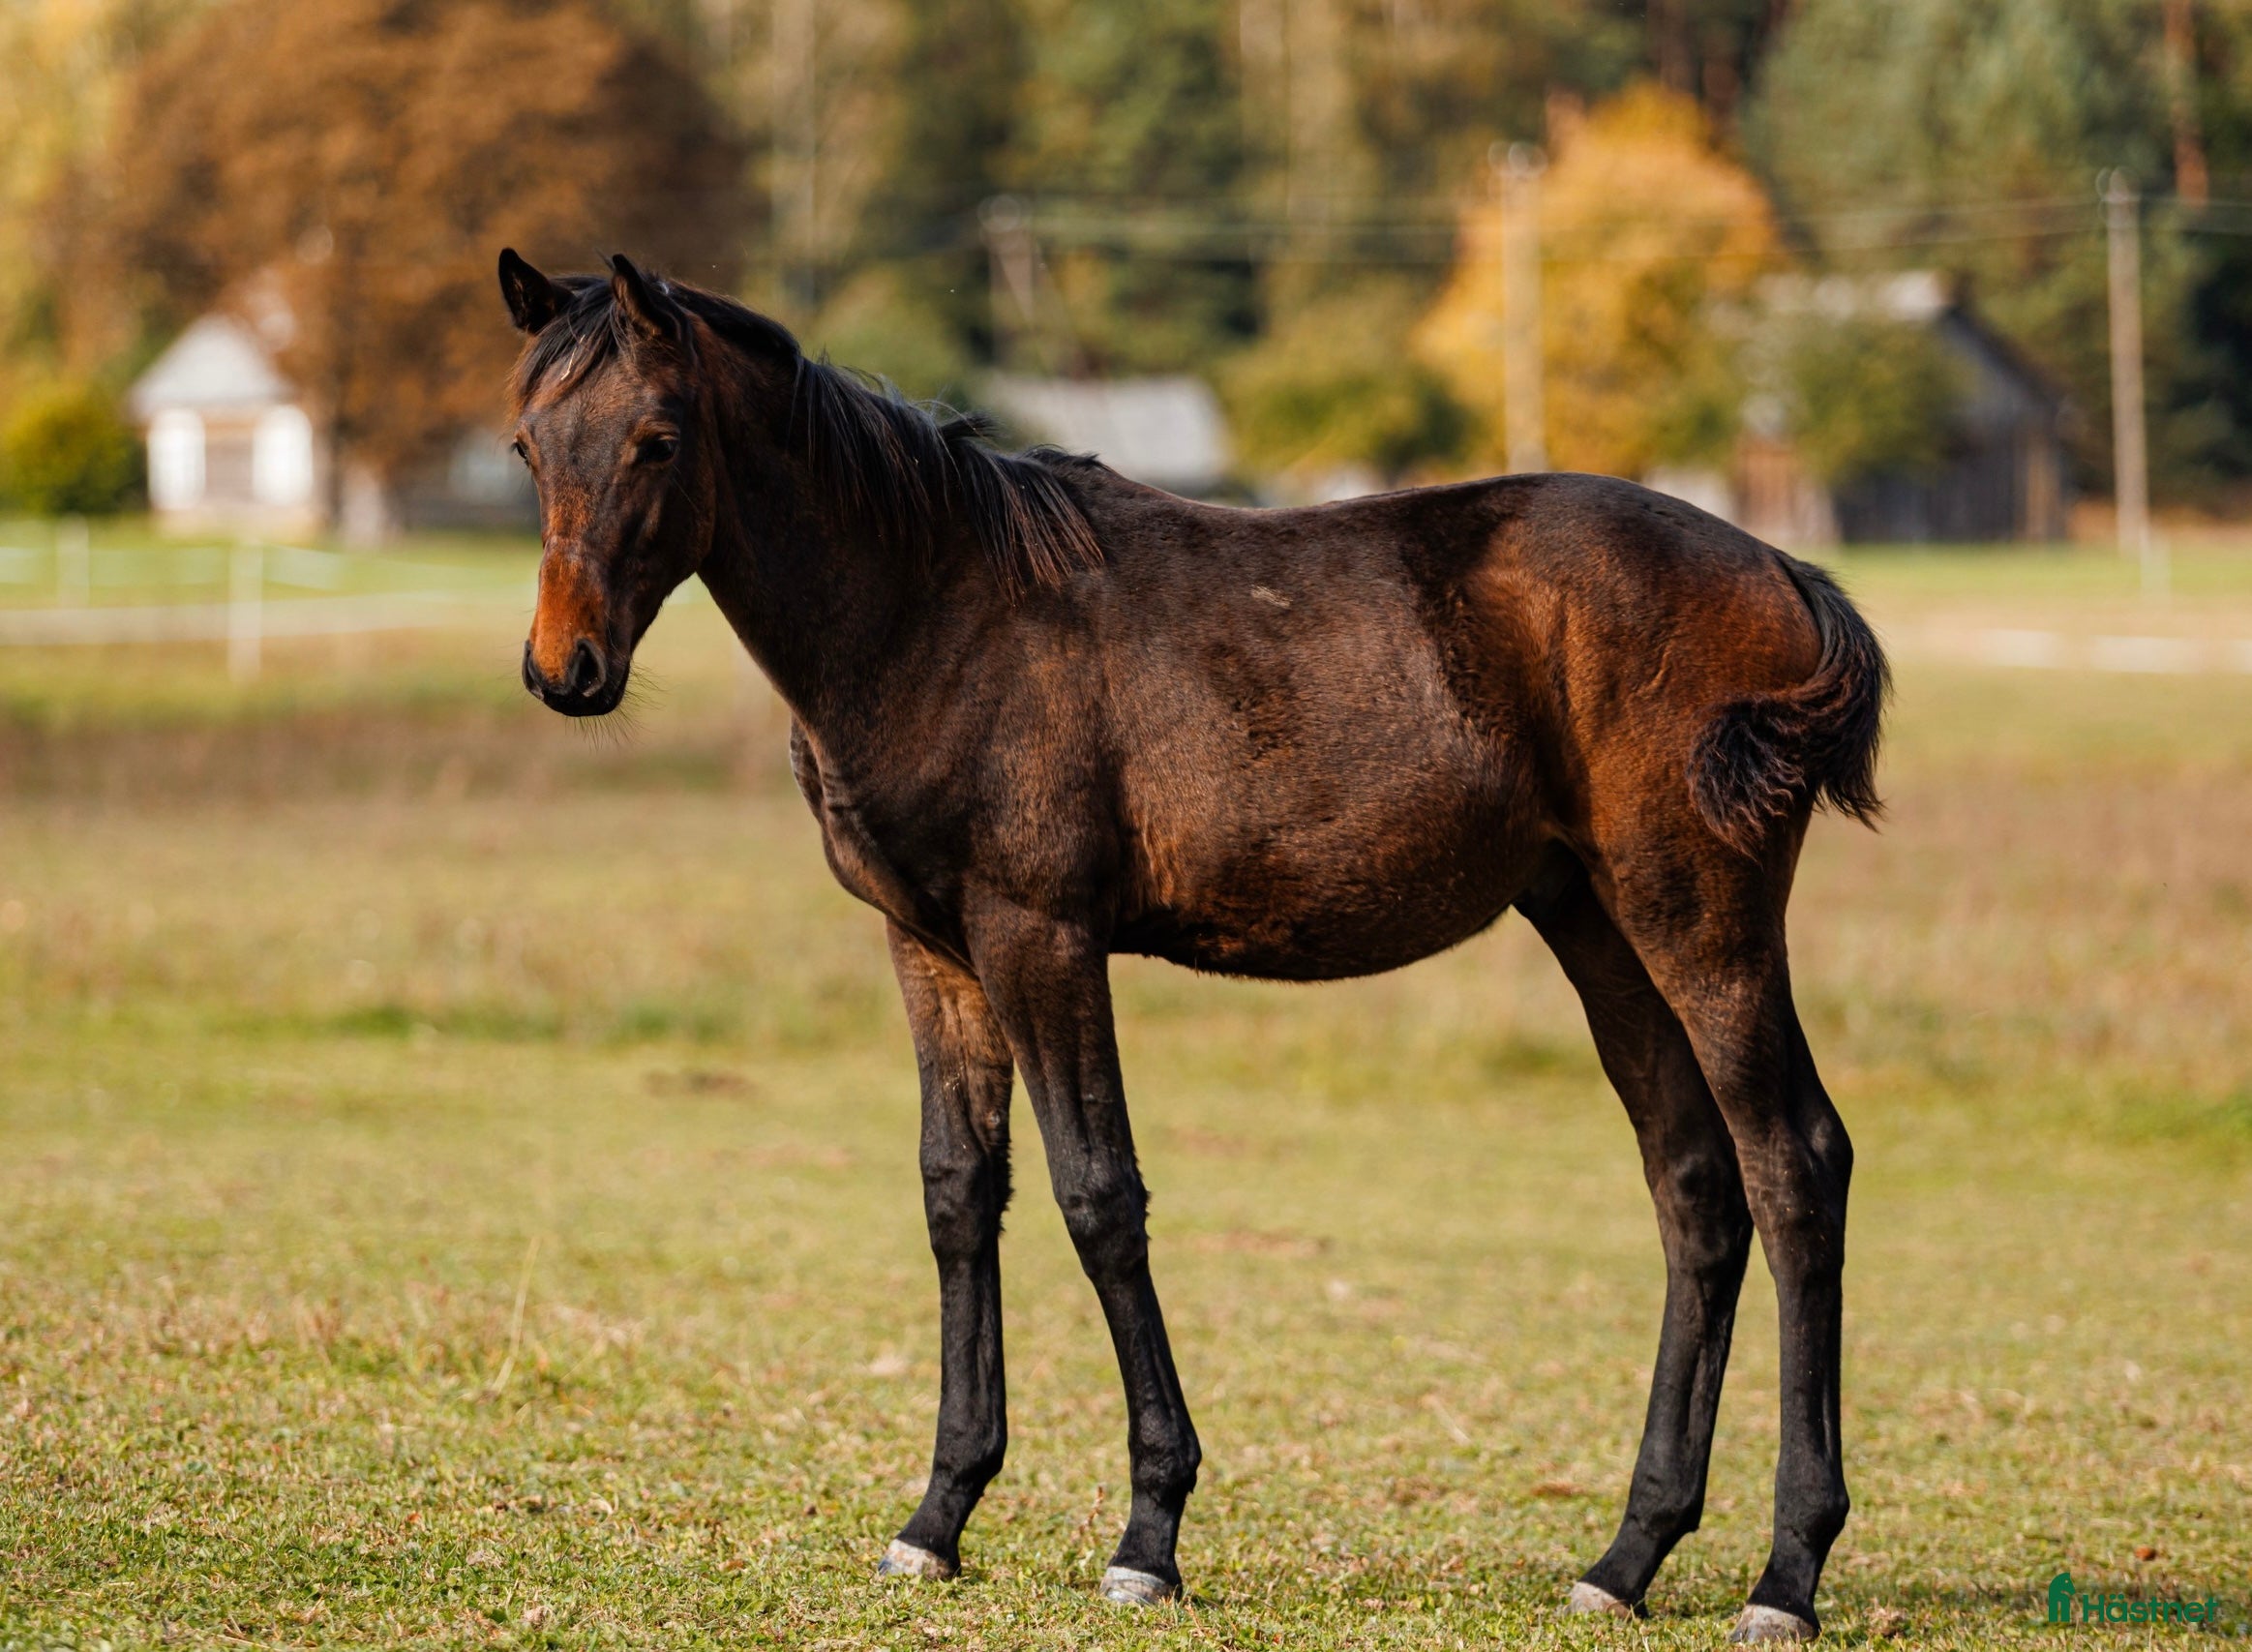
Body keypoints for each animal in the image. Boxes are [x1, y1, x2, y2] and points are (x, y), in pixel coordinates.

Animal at [495, 248, 1887, 1643]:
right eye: (524, 444)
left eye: (656, 438)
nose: (566, 670)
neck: (936, 608)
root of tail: (1779, 568)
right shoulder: (930, 949)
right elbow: (957, 1193)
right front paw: (937, 1517)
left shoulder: (1040, 938)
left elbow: (1097, 1195)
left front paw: (1148, 1534)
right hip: (1597, 926)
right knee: (1693, 1187)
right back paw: (1626, 1555)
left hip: (1696, 923)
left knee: (1792, 1166)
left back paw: (1786, 1572)